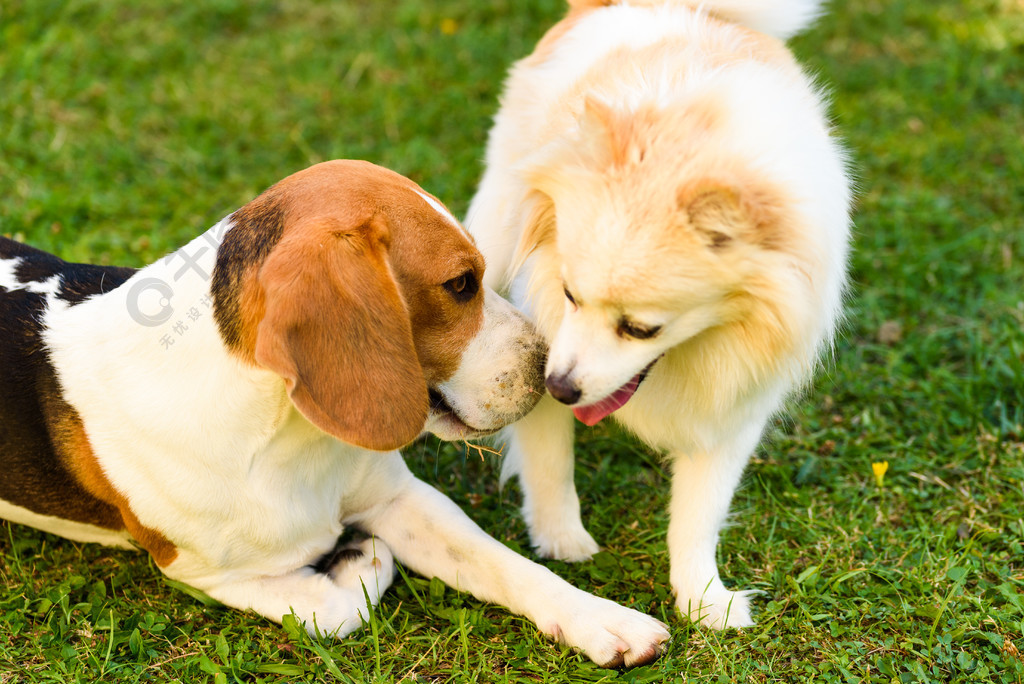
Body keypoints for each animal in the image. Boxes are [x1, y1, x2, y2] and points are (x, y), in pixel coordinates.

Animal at [0, 161, 667, 667]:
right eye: (460, 284)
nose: (549, 372)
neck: (283, 437)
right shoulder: (205, 573)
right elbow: (333, 611)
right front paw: (357, 558)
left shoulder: (400, 498)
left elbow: (510, 566)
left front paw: (604, 620)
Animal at [468, 0, 851, 630]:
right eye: (570, 295)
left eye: (642, 329)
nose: (561, 386)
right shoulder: (541, 331)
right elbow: (549, 458)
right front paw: (560, 539)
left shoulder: (733, 404)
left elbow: (698, 514)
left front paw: (703, 599)